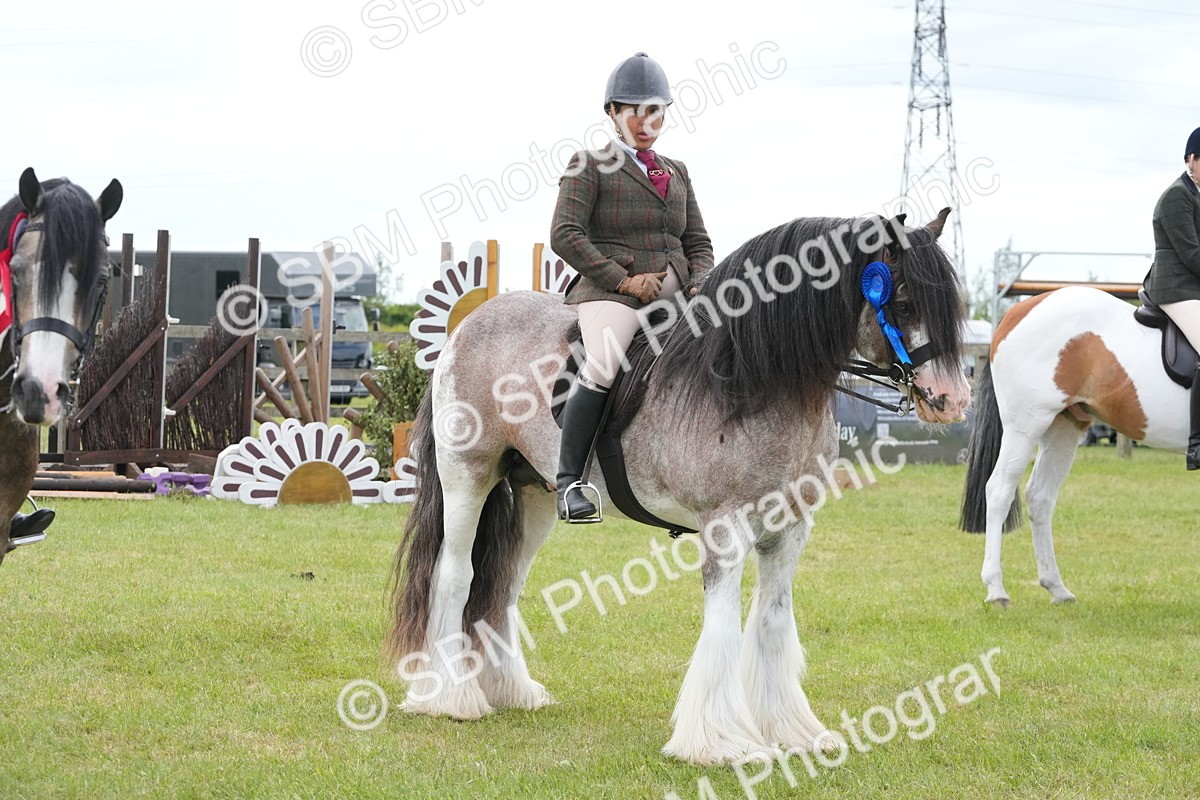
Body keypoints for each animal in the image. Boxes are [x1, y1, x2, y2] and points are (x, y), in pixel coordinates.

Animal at [385, 209, 970, 766]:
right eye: (904, 302)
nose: (952, 401)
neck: (753, 377)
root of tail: (468, 327)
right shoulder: (724, 527)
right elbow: (724, 629)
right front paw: (721, 744)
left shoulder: (791, 527)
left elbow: (773, 622)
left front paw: (790, 733)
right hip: (468, 477)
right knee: (456, 576)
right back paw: (449, 698)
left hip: (535, 495)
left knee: (504, 582)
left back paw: (513, 692)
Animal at [960, 285, 1189, 606]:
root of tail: (1019, 311)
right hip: (1025, 427)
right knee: (999, 492)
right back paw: (996, 590)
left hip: (1063, 426)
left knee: (1040, 497)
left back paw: (1056, 587)